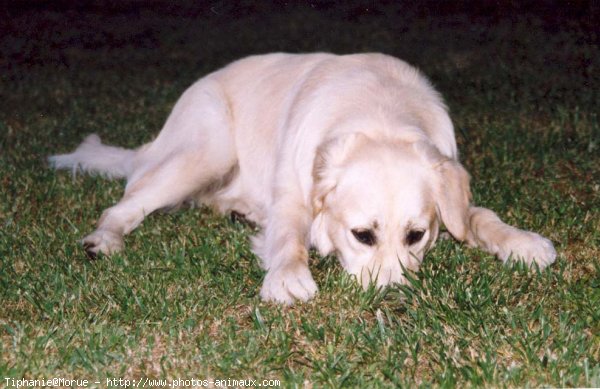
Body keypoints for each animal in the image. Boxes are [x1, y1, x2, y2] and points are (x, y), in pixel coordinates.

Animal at [49, 53, 556, 304]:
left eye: (416, 235)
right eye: (362, 235)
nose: (394, 297)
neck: (381, 114)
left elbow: (479, 216)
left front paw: (523, 242)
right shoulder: (293, 196)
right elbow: (290, 239)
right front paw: (288, 279)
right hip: (203, 150)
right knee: (126, 202)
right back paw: (103, 239)